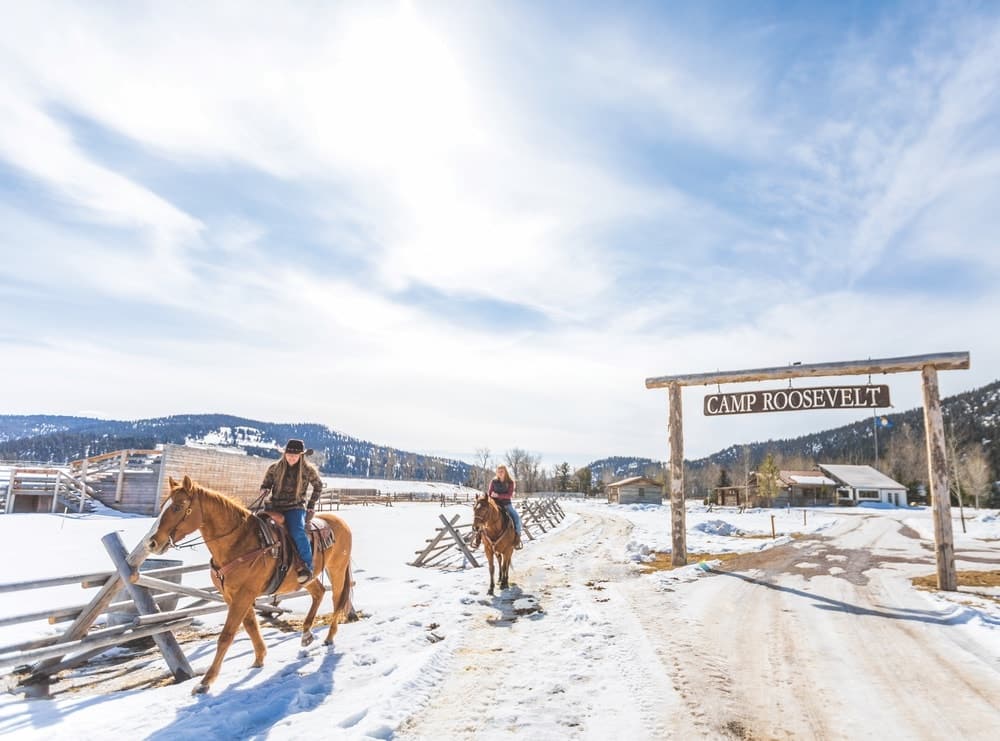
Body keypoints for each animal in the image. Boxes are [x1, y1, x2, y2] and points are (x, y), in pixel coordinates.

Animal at [143, 474, 354, 692]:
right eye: (163, 506)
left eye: (177, 507)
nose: (151, 543)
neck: (239, 542)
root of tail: (341, 523)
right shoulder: (232, 596)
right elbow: (251, 626)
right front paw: (259, 659)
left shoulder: (244, 595)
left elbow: (226, 636)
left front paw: (205, 682)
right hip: (305, 578)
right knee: (319, 592)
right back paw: (306, 635)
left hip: (337, 570)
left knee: (338, 600)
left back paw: (329, 637)